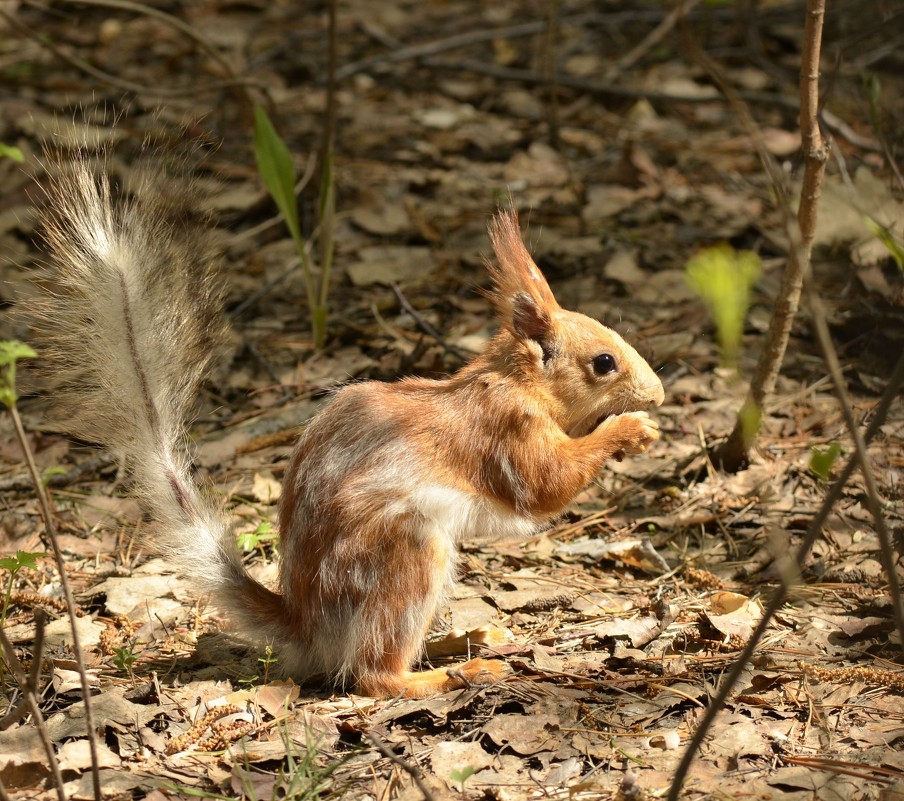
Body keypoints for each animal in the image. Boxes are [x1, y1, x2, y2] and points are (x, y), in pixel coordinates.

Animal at [28, 155, 664, 692]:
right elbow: (545, 485)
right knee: (370, 674)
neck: (514, 381)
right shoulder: (507, 429)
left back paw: (470, 638)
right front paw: (630, 429)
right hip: (403, 554)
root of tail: (307, 628)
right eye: (603, 363)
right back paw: (446, 674)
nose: (657, 394)